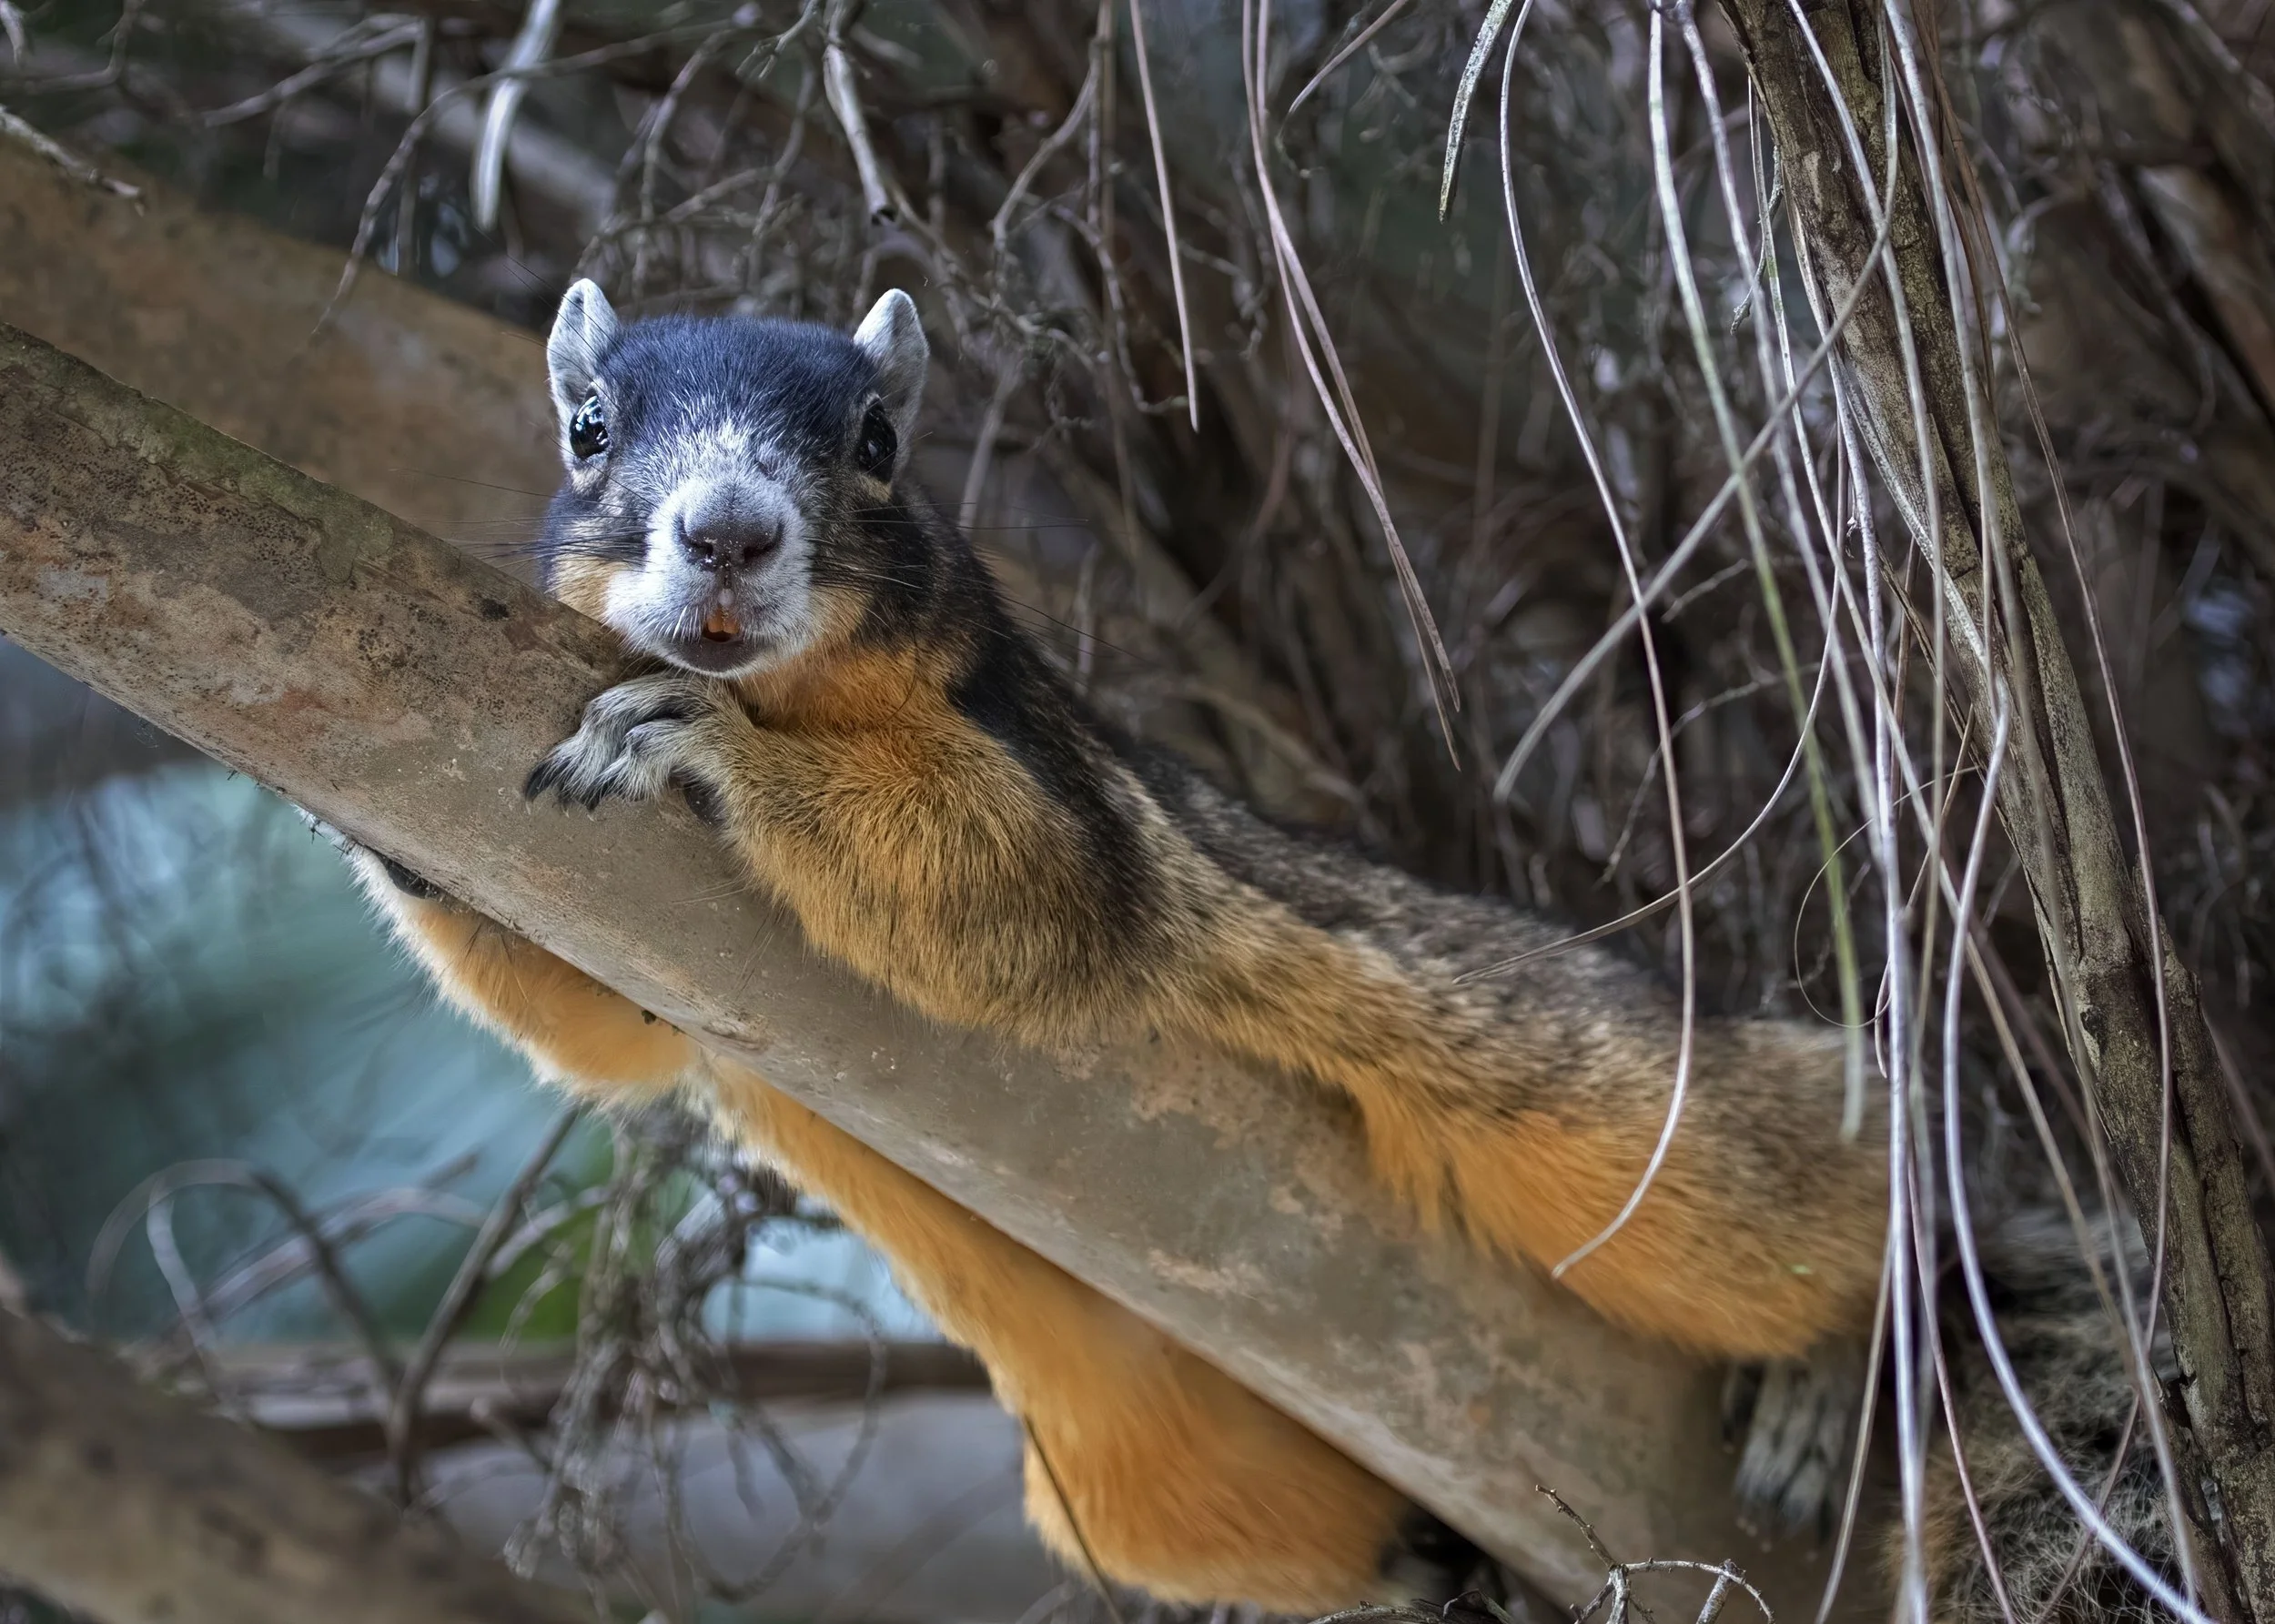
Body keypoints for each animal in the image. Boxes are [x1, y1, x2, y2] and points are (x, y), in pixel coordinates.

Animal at [337, 280, 2173, 1620]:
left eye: (878, 440)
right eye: (588, 430)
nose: (726, 531)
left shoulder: (1064, 802)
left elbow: (1009, 894)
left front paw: (708, 748)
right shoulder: (647, 960)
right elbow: (601, 1035)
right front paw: (375, 831)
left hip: (1634, 1129)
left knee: (1816, 1183)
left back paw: (1845, 1346)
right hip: (1129, 1464)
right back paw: (1418, 1581)